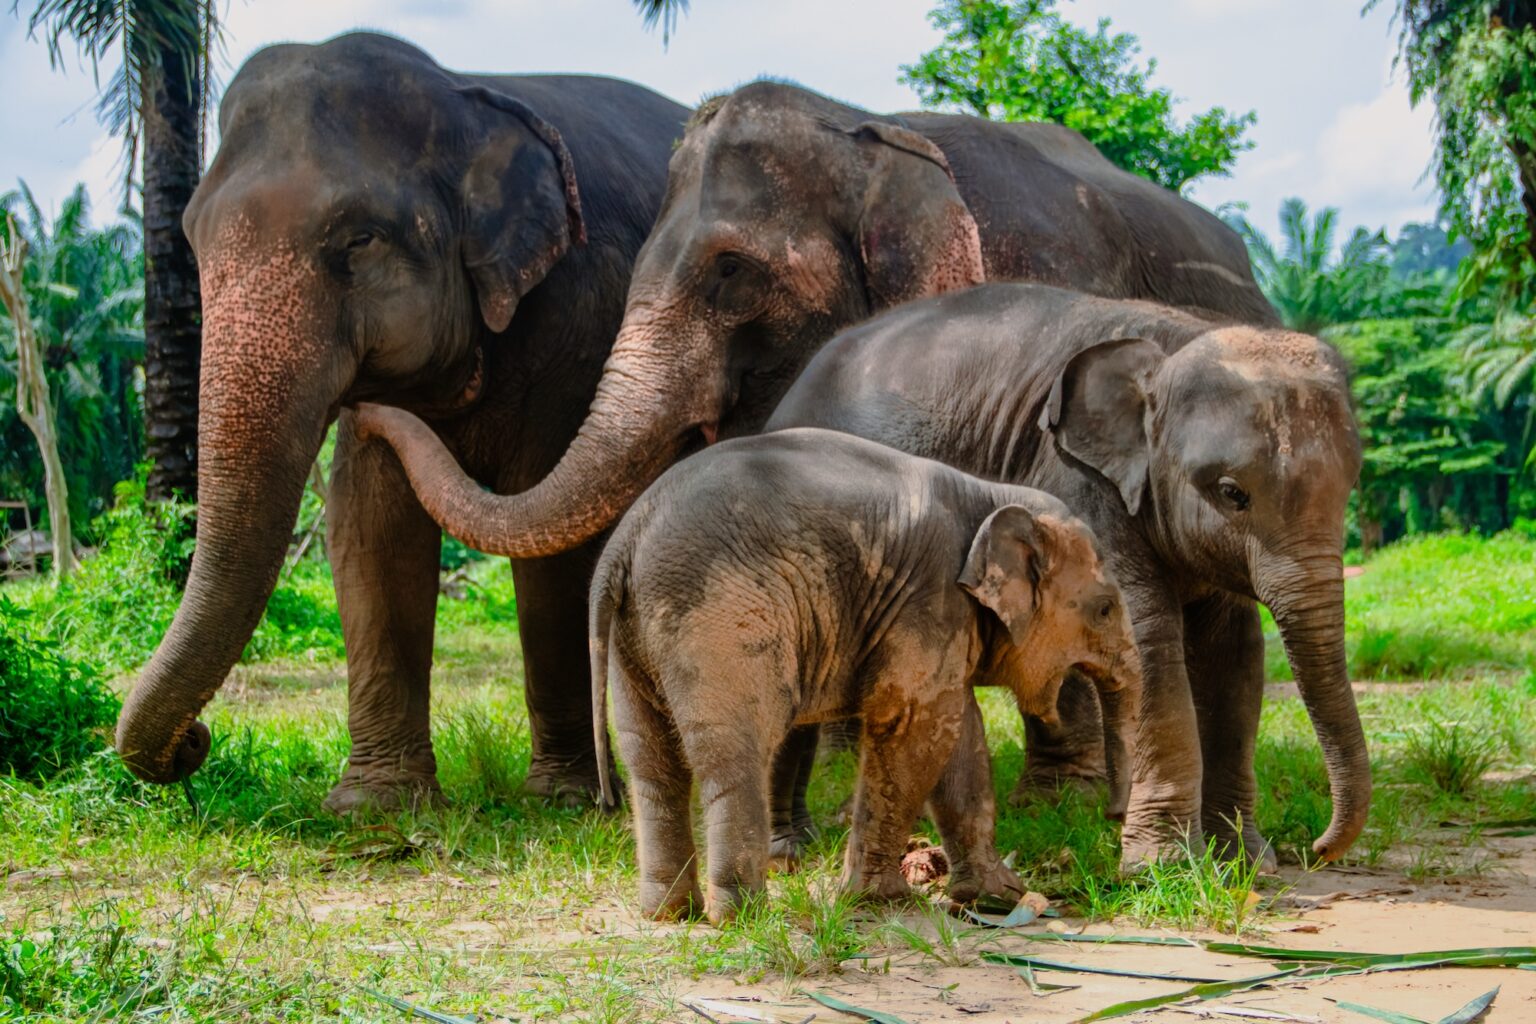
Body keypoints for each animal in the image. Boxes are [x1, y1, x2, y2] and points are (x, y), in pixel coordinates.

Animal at [112, 31, 690, 811]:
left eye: (360, 240)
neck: (462, 94)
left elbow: (550, 535)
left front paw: (563, 799)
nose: (196, 743)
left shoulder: (586, 309)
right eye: (194, 243)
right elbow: (369, 526)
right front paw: (376, 804)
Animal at [579, 428, 1140, 923]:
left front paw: (996, 898)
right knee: (731, 759)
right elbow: (916, 729)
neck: (989, 494)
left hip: (637, 638)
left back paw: (669, 914)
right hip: (718, 622)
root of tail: (622, 545)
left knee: (652, 765)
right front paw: (881, 901)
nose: (1112, 817)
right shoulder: (930, 598)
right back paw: (741, 917)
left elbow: (957, 734)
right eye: (1106, 609)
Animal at [763, 283, 1369, 870]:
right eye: (1231, 492)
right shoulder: (1076, 486)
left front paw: (1244, 863)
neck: (1171, 344)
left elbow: (1234, 656)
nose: (1318, 848)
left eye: (1350, 487)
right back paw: (795, 848)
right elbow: (1148, 644)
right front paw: (1166, 868)